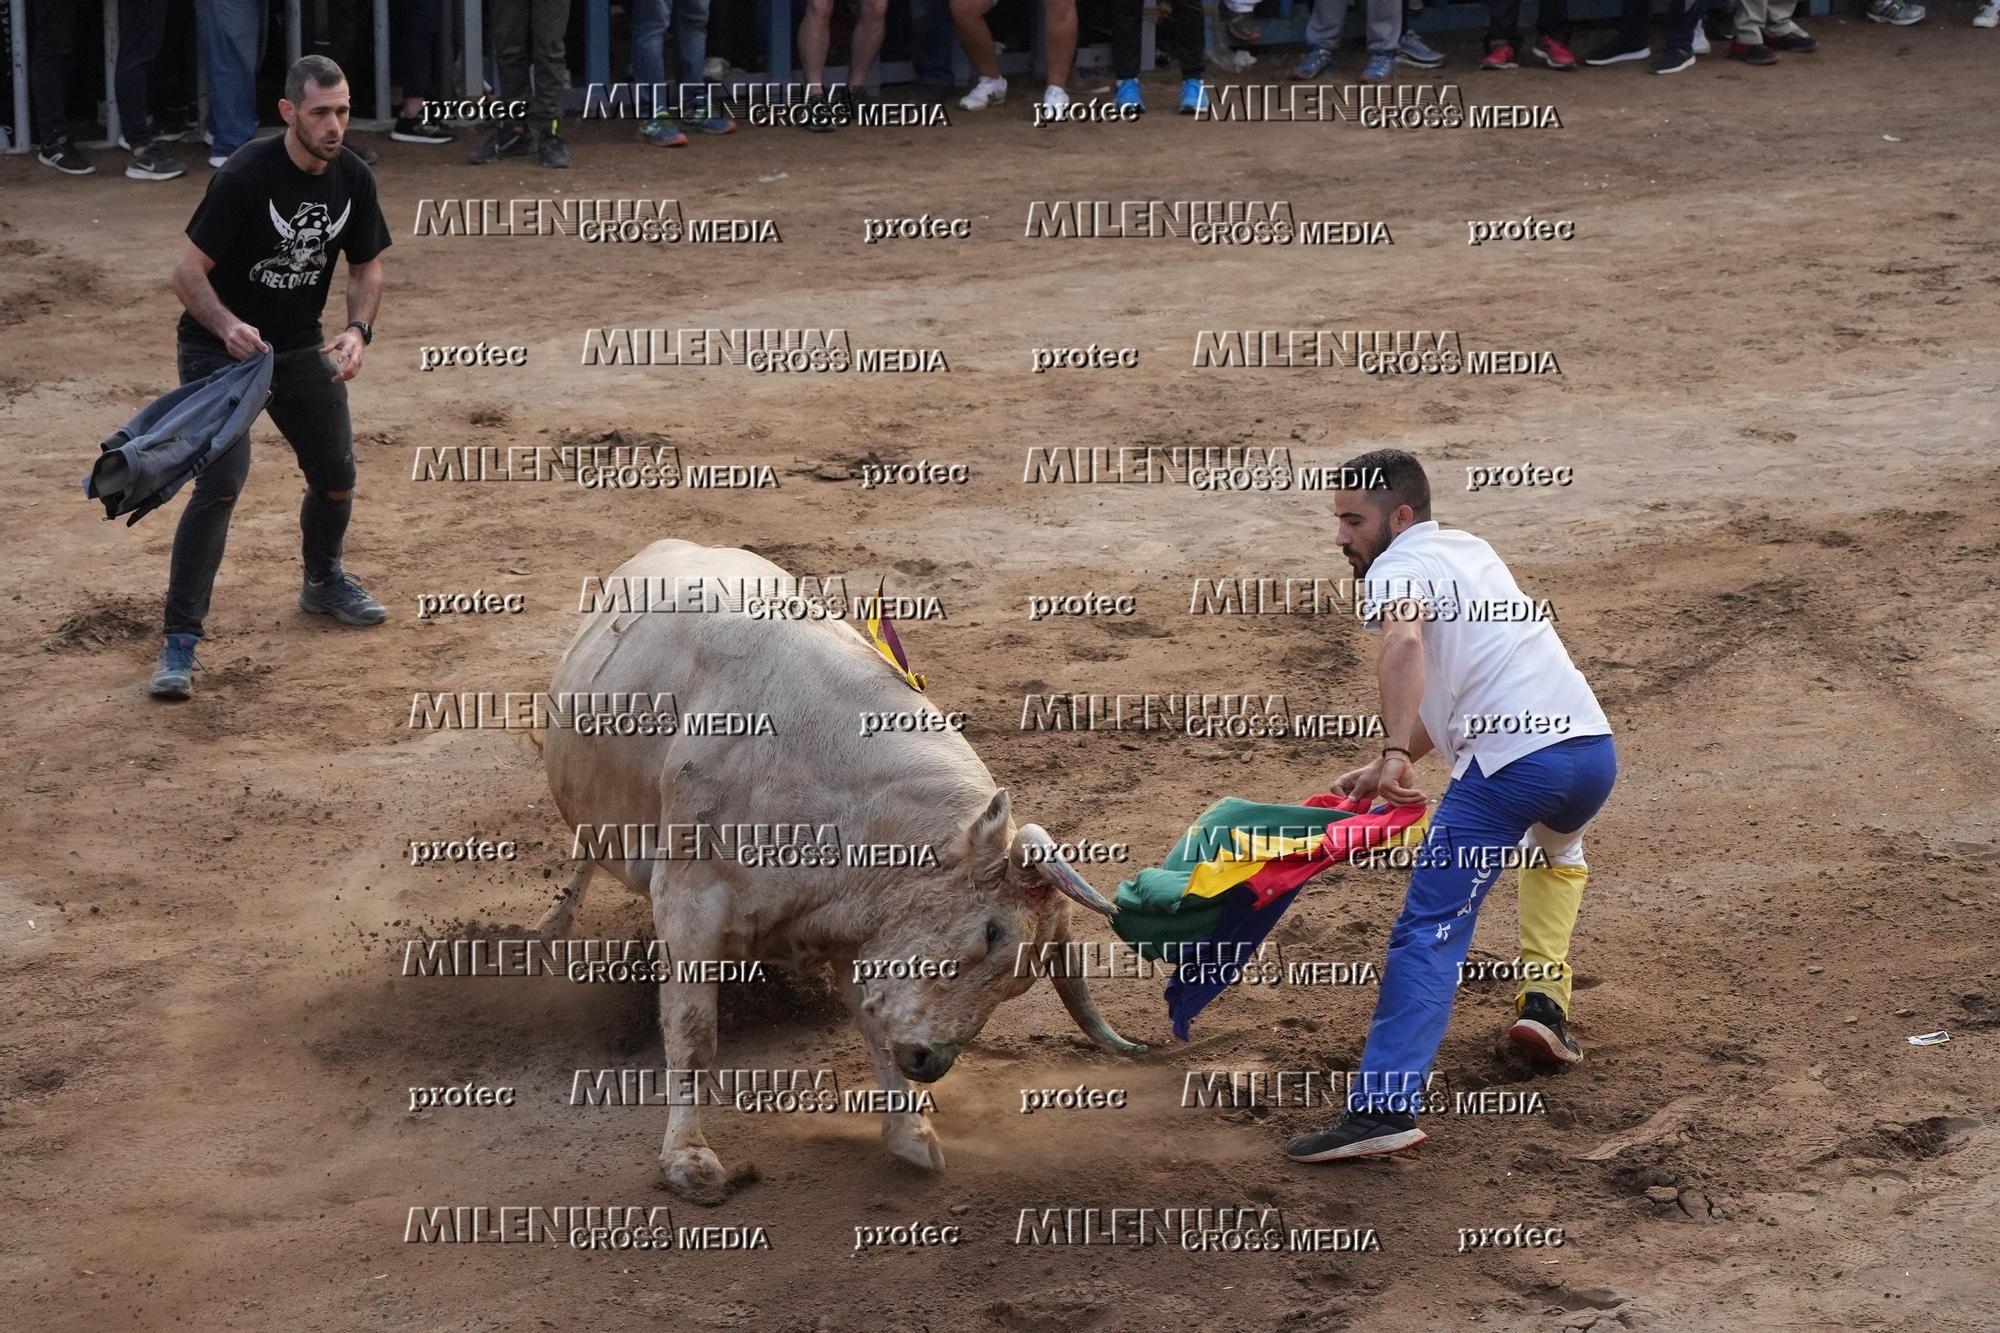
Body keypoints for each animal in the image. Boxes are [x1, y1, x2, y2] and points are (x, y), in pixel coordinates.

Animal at [540, 536, 1152, 1200]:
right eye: (992, 933)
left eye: (1021, 980)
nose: (930, 1062)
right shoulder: (688, 903)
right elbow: (694, 1031)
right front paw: (689, 1160)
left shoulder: (857, 926)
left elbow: (873, 1020)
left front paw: (911, 1135)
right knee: (585, 853)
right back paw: (552, 929)